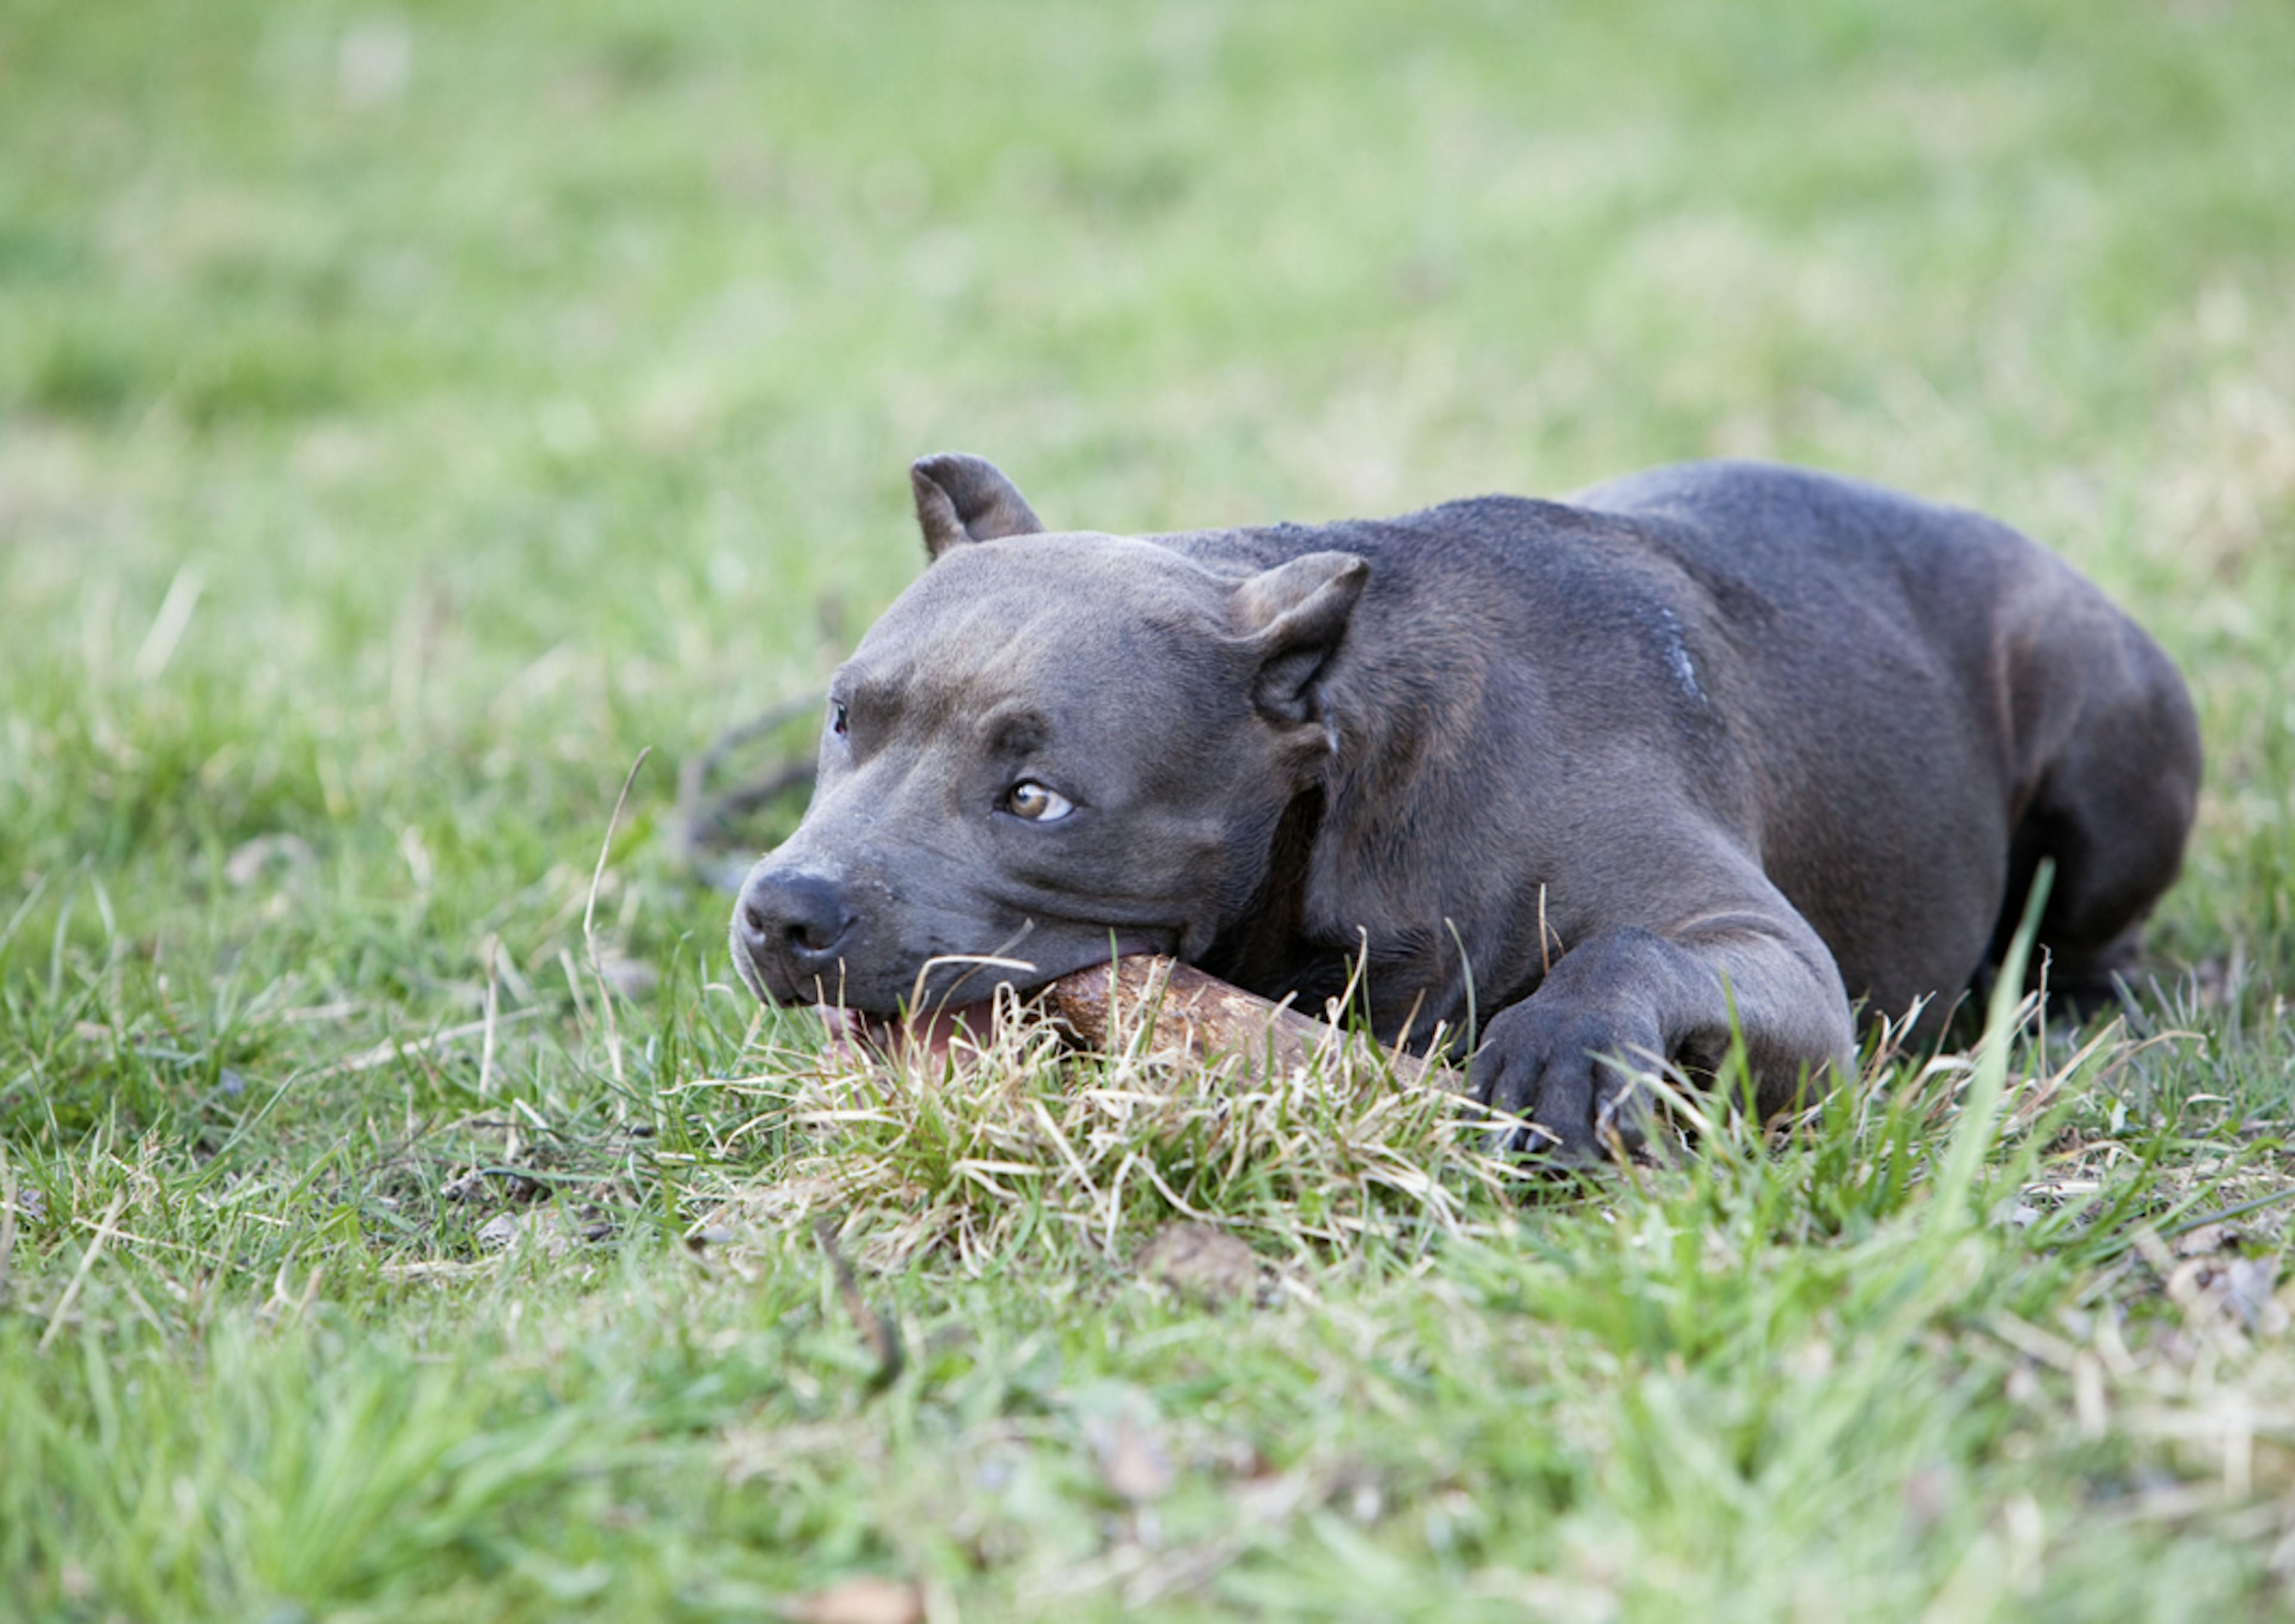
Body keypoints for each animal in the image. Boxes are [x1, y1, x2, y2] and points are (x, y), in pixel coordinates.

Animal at [734, 456, 2203, 1160]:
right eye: (846, 719)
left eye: (1035, 797)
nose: (782, 910)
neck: (1349, 787)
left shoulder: (1767, 952)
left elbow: (1634, 945)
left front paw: (1562, 1043)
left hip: (2105, 728)